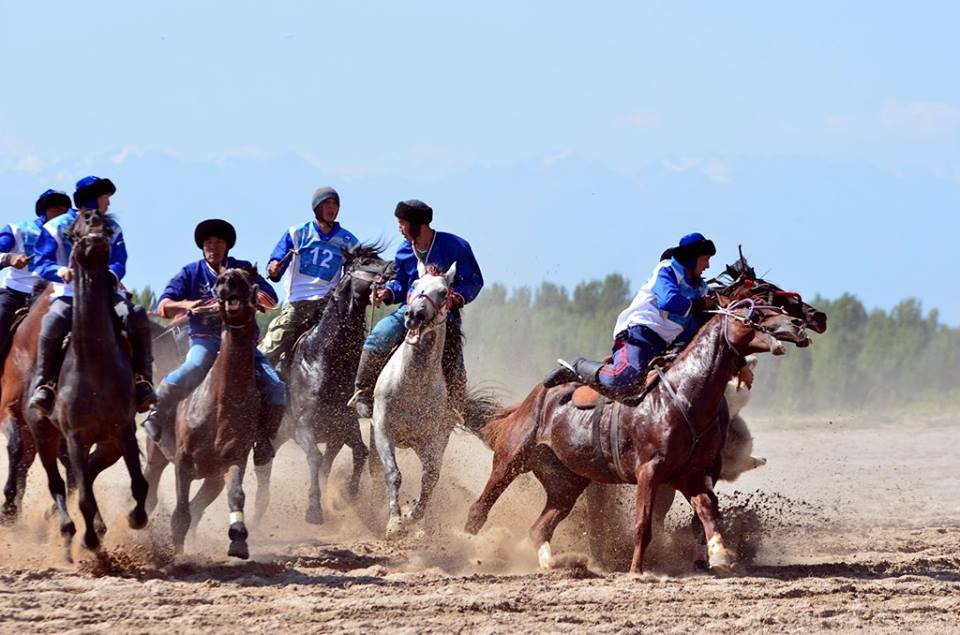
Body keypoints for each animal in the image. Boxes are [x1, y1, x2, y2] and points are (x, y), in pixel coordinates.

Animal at [253, 241, 396, 524]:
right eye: (365, 262)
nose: (393, 267)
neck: (323, 359)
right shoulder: (303, 428)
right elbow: (316, 459)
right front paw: (313, 510)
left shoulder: (342, 428)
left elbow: (356, 453)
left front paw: (349, 495)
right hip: (268, 435)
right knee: (262, 468)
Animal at [368, 260, 458, 540]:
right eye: (415, 285)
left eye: (443, 291)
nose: (414, 315)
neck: (412, 385)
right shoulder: (383, 430)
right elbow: (393, 474)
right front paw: (395, 522)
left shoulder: (430, 440)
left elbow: (431, 478)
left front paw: (413, 515)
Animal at [464, 286, 808, 572]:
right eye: (756, 312)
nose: (797, 324)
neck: (681, 395)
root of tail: (530, 399)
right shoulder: (649, 471)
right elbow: (644, 523)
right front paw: (637, 570)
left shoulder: (690, 472)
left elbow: (707, 509)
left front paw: (720, 556)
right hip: (510, 460)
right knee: (479, 510)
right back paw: (466, 550)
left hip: (567, 482)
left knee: (540, 528)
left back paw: (560, 563)